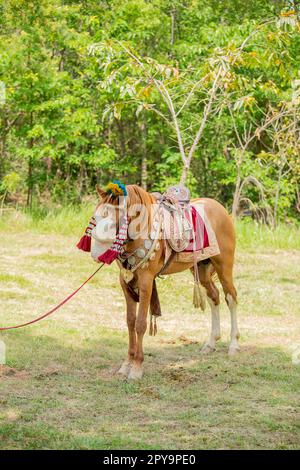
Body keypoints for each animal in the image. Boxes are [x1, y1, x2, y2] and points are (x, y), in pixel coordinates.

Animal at [92, 185, 239, 380]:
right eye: (96, 217)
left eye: (110, 221)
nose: (95, 254)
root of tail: (220, 209)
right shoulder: (125, 281)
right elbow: (130, 322)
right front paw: (126, 365)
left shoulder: (146, 282)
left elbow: (140, 324)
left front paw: (136, 368)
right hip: (202, 268)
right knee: (214, 297)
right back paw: (210, 343)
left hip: (224, 266)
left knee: (231, 298)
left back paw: (234, 345)